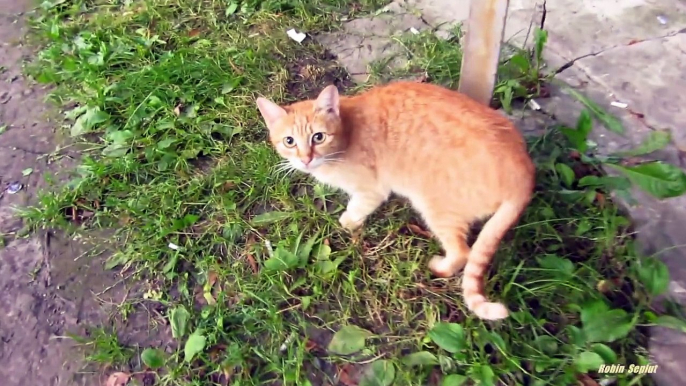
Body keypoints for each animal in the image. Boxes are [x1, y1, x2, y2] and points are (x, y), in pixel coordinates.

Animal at [258, 81, 536, 320]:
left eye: (318, 137)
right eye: (289, 141)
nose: (305, 159)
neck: (347, 131)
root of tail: (525, 176)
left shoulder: (372, 190)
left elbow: (356, 207)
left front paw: (349, 221)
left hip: (435, 208)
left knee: (462, 253)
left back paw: (440, 267)